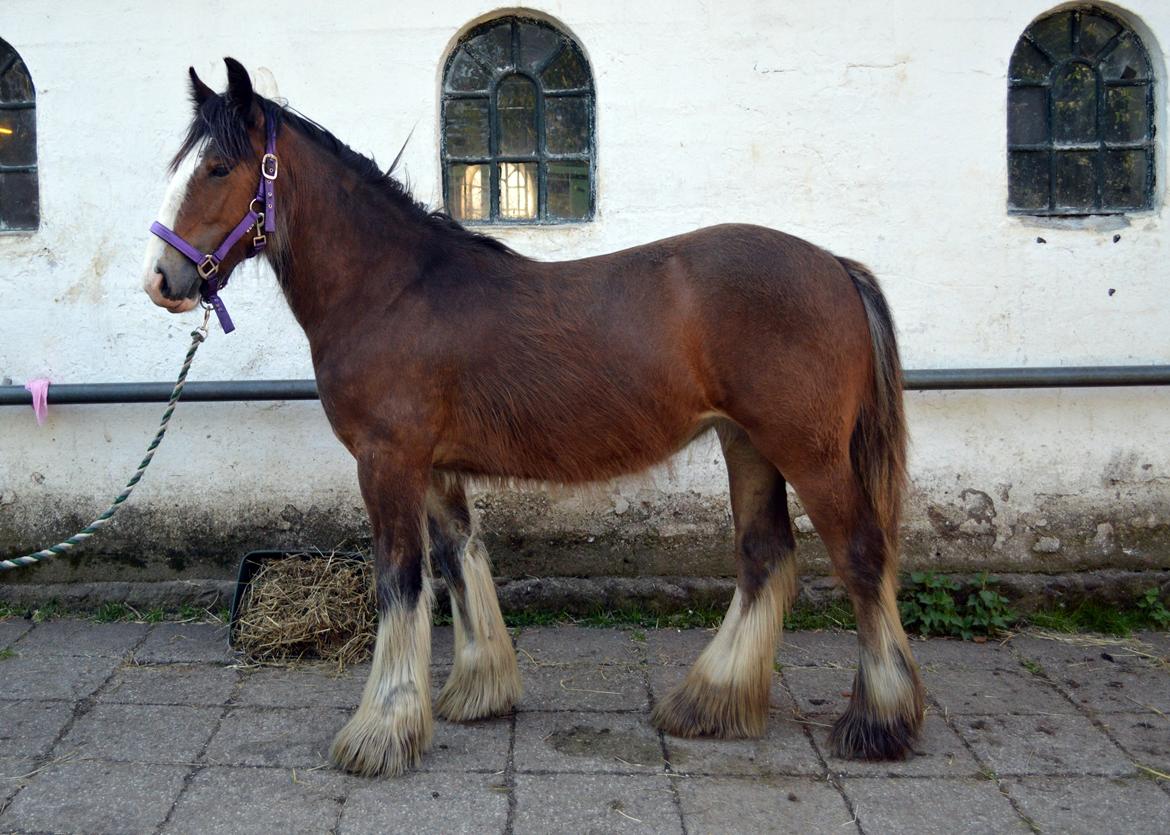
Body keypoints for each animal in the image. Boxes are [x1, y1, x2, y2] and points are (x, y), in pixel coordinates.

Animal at [141, 58, 921, 771]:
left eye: (217, 167)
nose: (161, 280)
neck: (392, 287)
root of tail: (834, 265)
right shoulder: (434, 468)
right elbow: (460, 560)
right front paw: (477, 689)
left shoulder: (388, 461)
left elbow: (401, 581)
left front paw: (381, 731)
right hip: (748, 443)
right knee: (765, 557)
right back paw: (709, 701)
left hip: (808, 452)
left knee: (861, 555)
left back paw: (878, 721)